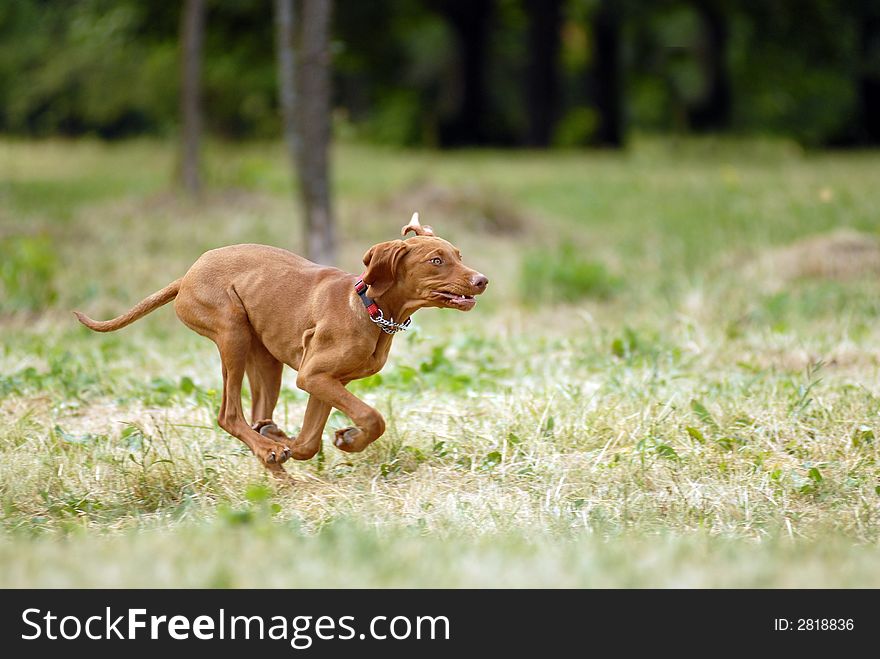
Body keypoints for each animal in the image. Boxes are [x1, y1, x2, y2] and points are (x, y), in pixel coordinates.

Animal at [74, 214, 488, 476]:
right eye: (436, 261)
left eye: (459, 256)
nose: (482, 280)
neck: (370, 309)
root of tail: (187, 275)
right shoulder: (314, 376)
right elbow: (372, 417)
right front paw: (350, 438)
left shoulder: (327, 382)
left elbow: (309, 442)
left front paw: (333, 439)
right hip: (232, 332)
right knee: (229, 415)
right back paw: (268, 450)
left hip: (264, 358)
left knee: (258, 415)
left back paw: (272, 450)